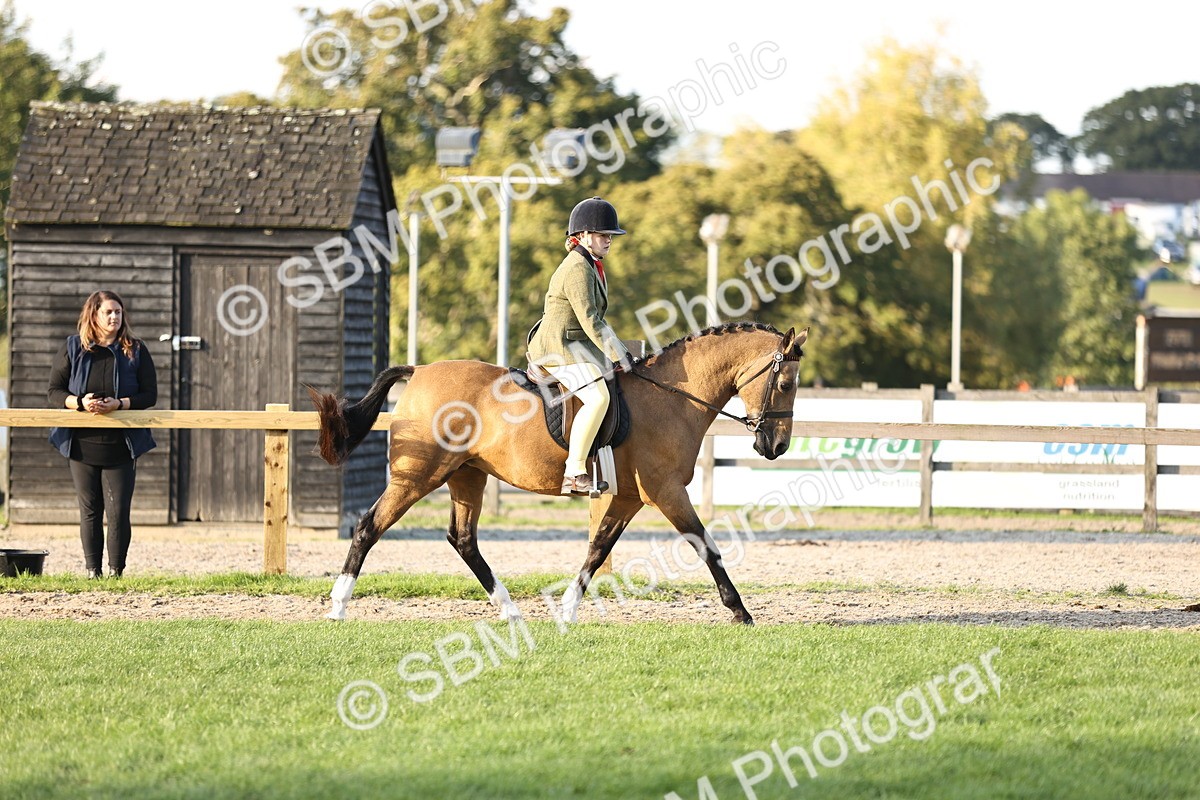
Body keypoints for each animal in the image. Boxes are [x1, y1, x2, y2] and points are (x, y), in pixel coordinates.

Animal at [309, 321, 807, 625]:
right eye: (785, 383)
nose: (776, 446)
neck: (672, 397)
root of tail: (417, 371)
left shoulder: (627, 498)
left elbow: (598, 549)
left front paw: (567, 610)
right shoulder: (667, 492)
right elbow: (707, 546)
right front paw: (740, 611)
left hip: (467, 475)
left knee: (463, 539)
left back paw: (509, 609)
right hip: (416, 477)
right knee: (369, 526)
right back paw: (338, 605)